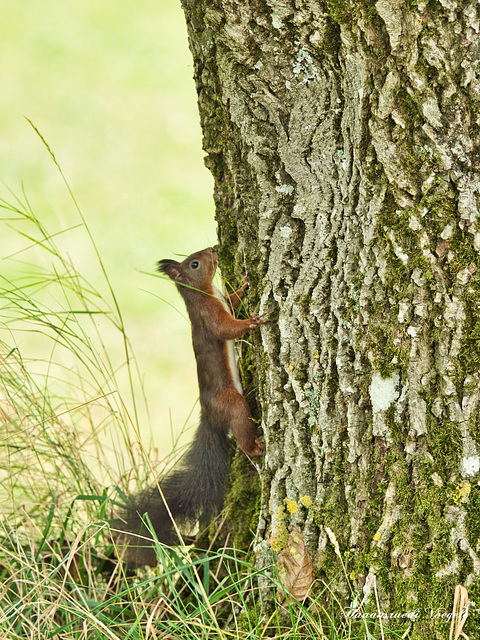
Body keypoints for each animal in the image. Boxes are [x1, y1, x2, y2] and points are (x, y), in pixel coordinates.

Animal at [119, 248, 262, 564]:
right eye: (195, 264)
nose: (214, 250)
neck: (205, 294)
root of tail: (209, 417)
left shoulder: (223, 301)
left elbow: (234, 300)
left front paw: (245, 284)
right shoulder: (208, 315)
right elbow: (227, 329)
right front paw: (251, 322)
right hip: (232, 404)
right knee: (241, 428)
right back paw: (255, 447)